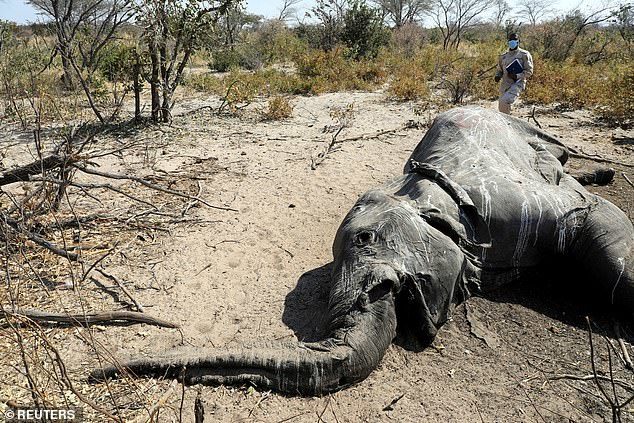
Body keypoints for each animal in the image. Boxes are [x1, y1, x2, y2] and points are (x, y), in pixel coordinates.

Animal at [91, 107, 628, 398]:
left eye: (366, 240)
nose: (97, 370)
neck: (419, 188)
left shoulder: (515, 205)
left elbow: (597, 223)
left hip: (524, 129)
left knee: (559, 155)